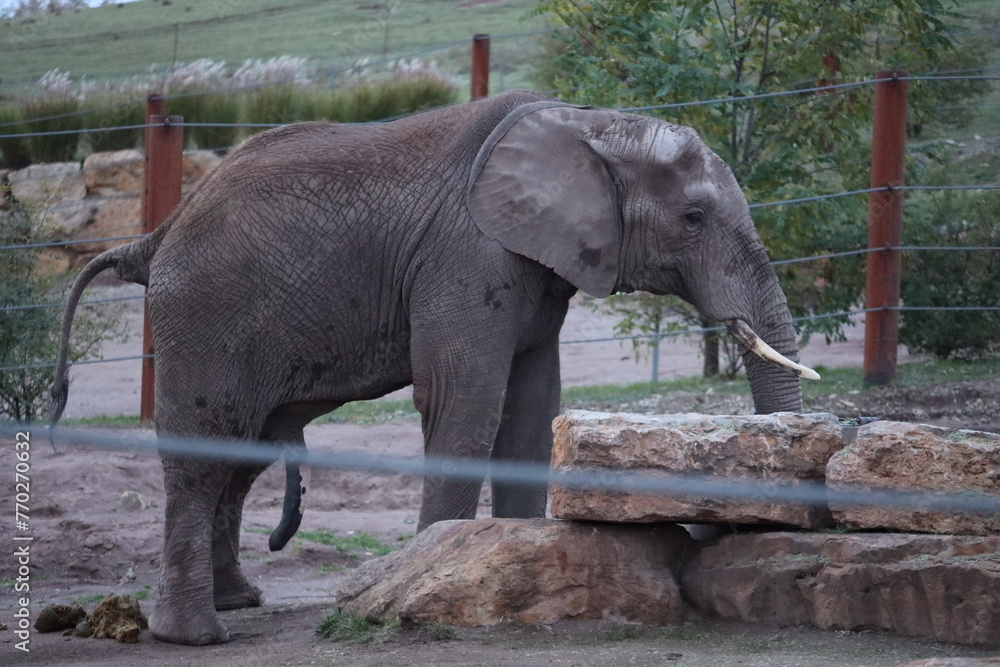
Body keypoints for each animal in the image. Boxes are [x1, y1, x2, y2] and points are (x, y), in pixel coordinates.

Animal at [51, 89, 817, 645]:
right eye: (693, 219)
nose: (726, 528)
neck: (589, 122)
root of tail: (156, 235)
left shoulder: (537, 267)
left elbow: (530, 411)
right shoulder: (468, 255)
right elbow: (465, 404)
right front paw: (420, 584)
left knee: (242, 453)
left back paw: (238, 601)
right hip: (205, 316)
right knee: (204, 454)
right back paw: (196, 636)